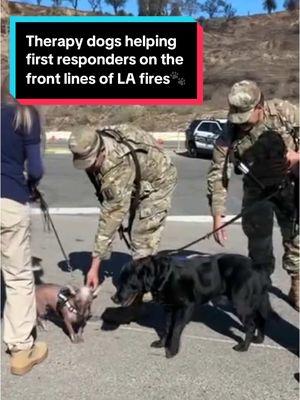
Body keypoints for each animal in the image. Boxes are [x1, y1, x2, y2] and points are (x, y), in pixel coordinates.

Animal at [112, 253, 272, 360]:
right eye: (119, 280)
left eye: (127, 281)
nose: (113, 298)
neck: (164, 275)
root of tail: (258, 268)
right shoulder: (169, 308)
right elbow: (167, 327)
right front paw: (162, 343)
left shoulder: (186, 307)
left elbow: (176, 329)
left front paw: (172, 351)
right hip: (258, 302)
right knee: (262, 320)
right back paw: (258, 340)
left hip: (241, 303)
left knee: (251, 325)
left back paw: (244, 347)